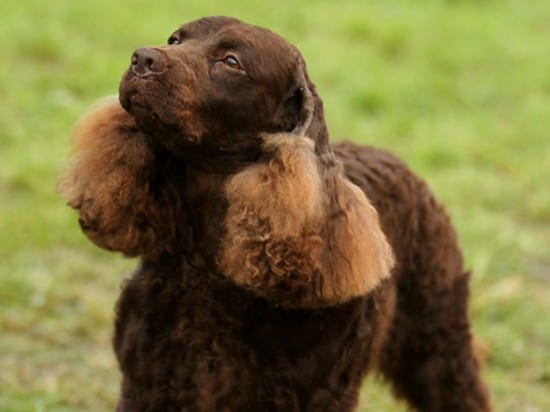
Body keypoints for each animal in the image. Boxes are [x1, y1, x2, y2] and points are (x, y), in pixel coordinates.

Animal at [59, 15, 492, 412]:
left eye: (231, 61)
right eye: (176, 39)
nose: (142, 58)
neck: (209, 271)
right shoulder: (150, 384)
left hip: (437, 340)